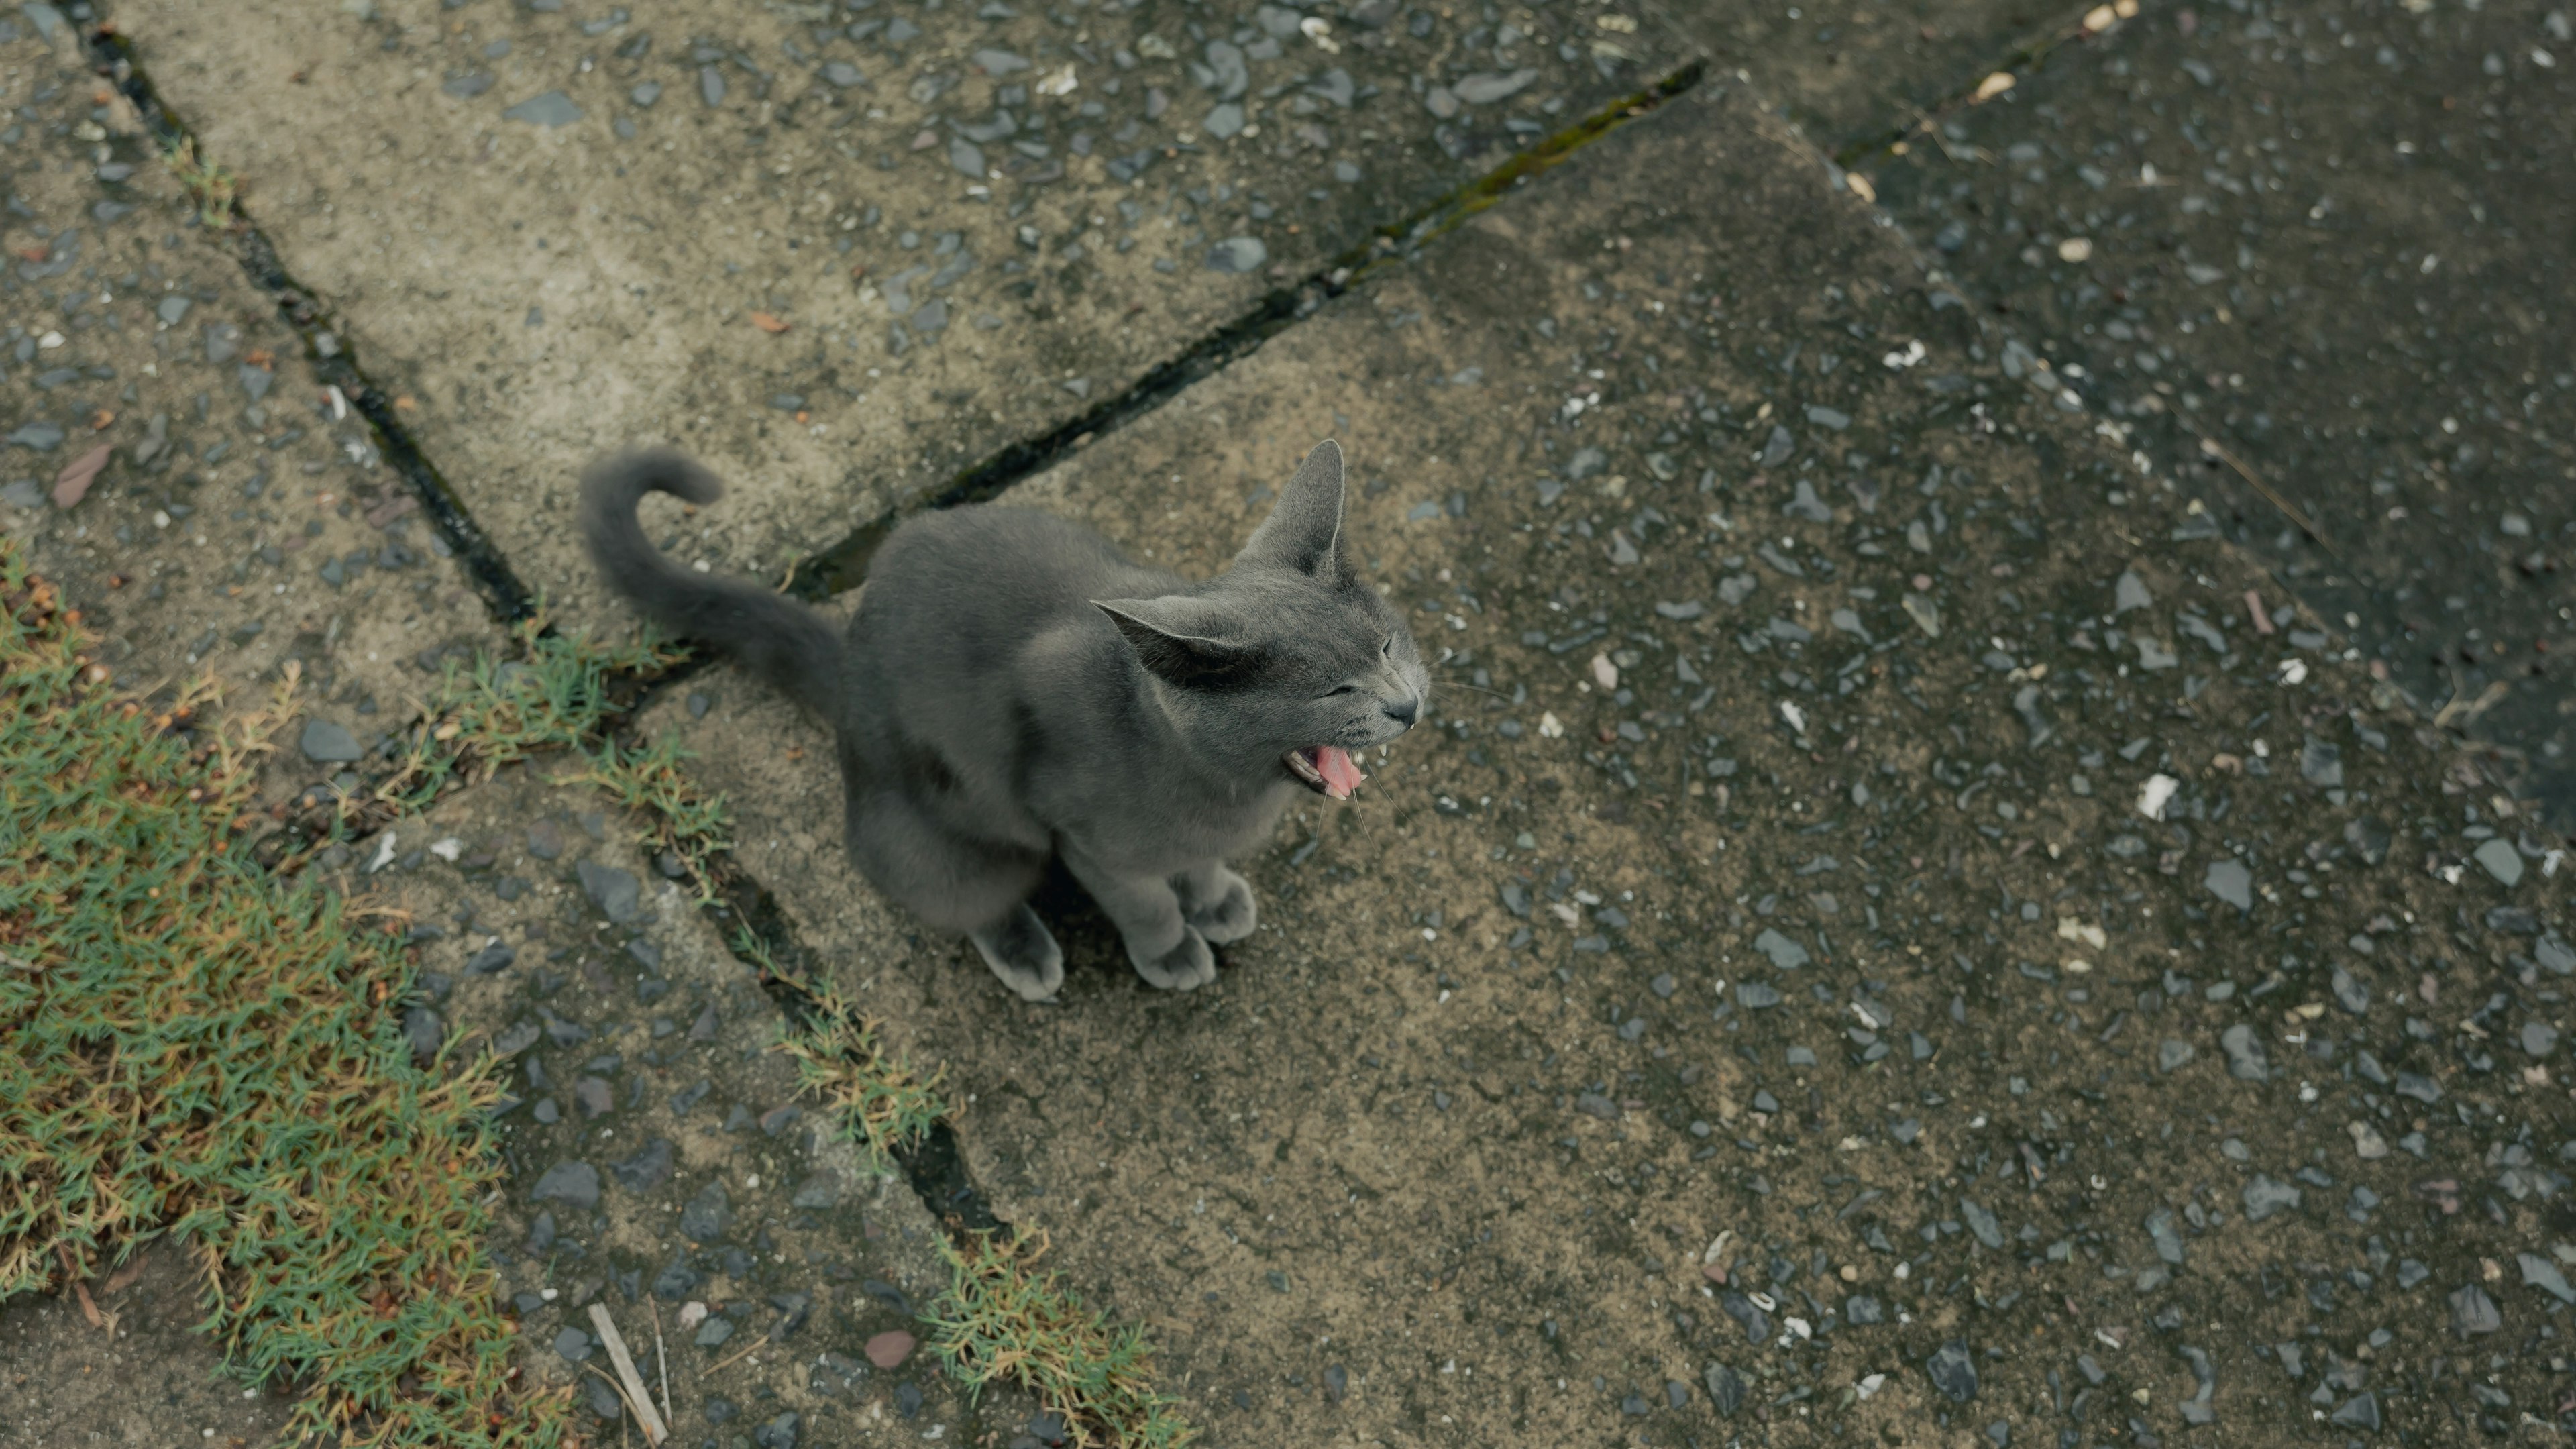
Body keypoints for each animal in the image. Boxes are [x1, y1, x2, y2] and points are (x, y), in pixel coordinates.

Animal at [584, 441, 1432, 1000]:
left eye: (1387, 645)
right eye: (1334, 690)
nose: (1407, 704)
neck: (1231, 791)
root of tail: (848, 673)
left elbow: (1195, 868)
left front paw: (1217, 898)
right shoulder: (1087, 842)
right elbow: (1148, 900)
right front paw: (1171, 953)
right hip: (940, 840)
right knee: (966, 898)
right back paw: (1025, 953)